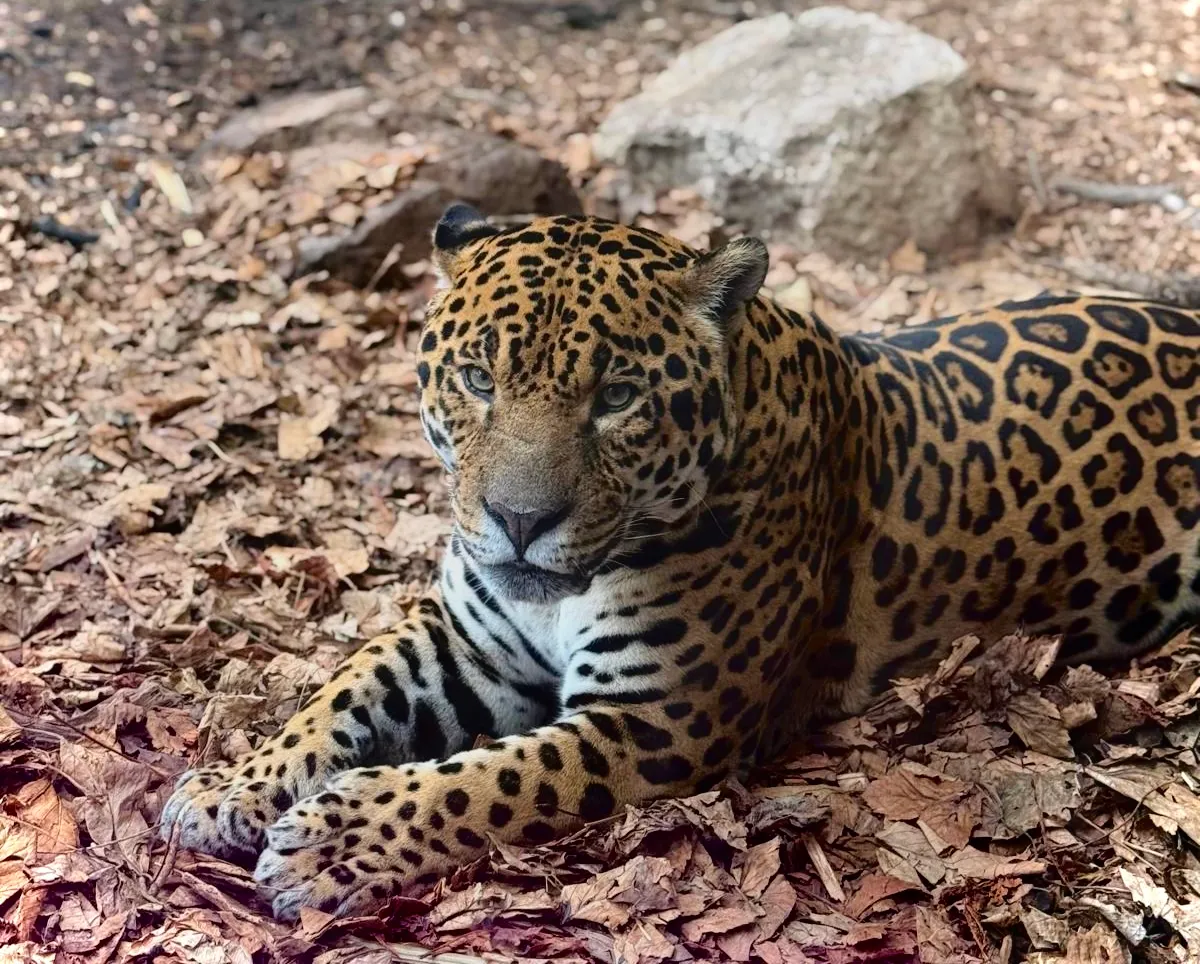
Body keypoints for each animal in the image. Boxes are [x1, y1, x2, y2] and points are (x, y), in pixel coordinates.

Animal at [162, 204, 1200, 921]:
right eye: (478, 380)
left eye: (618, 397)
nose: (518, 520)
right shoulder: (465, 642)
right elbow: (341, 691)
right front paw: (230, 785)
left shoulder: (656, 720)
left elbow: (489, 781)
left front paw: (332, 845)